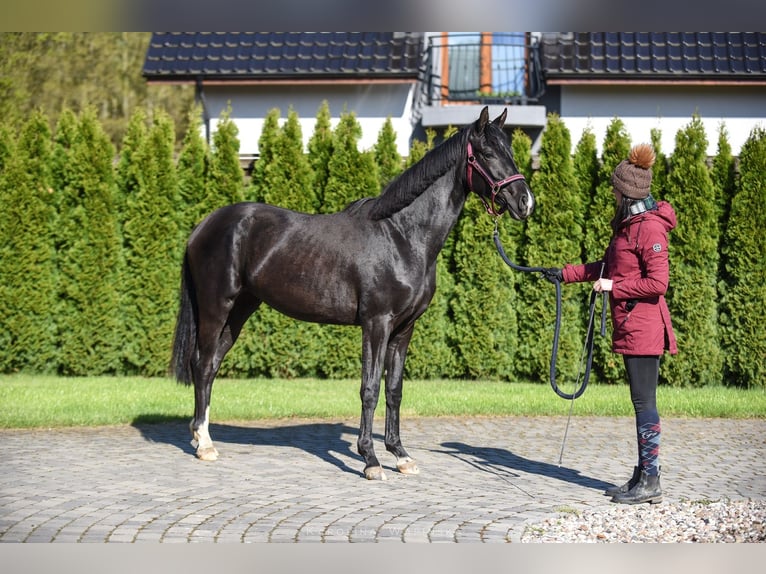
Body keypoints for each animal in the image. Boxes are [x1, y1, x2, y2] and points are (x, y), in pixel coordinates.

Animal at [172, 107, 536, 482]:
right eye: (487, 153)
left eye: (510, 150)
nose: (525, 202)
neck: (402, 236)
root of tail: (202, 227)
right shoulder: (376, 324)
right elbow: (370, 388)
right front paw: (371, 460)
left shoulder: (404, 329)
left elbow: (394, 390)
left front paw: (400, 455)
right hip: (217, 308)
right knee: (202, 365)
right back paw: (204, 445)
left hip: (241, 310)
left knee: (212, 366)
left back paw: (202, 436)